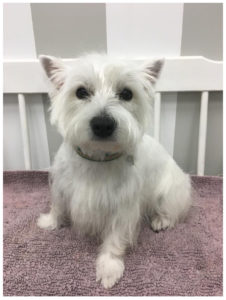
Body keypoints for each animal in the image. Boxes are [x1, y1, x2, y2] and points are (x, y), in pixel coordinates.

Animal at [37, 54, 191, 288]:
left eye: (126, 93)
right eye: (81, 92)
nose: (103, 124)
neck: (97, 158)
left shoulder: (123, 205)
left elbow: (115, 237)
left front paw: (109, 268)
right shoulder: (61, 186)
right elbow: (58, 206)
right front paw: (50, 222)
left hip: (170, 190)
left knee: (171, 209)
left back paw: (161, 220)